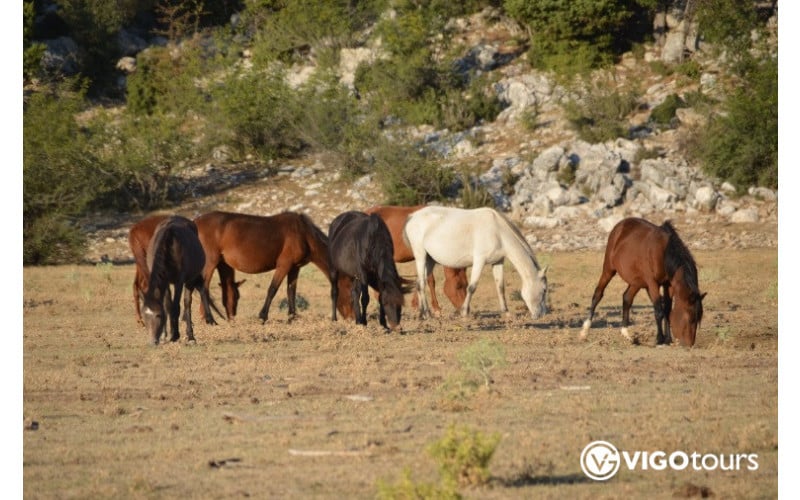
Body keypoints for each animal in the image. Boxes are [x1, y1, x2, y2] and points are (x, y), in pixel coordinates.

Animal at [142, 216, 214, 345]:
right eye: (144, 317)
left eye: (158, 315)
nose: (152, 342)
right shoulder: (165, 282)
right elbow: (167, 305)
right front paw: (165, 334)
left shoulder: (179, 282)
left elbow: (176, 307)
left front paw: (175, 335)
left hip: (191, 278)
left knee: (189, 301)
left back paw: (192, 334)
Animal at [194, 210, 352, 323]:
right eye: (350, 294)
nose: (351, 318)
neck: (304, 234)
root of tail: (195, 222)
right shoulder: (284, 265)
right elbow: (272, 289)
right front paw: (263, 316)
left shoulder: (294, 268)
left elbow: (291, 291)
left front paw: (293, 317)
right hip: (211, 262)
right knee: (204, 288)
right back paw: (209, 319)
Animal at [402, 206, 548, 320]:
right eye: (544, 290)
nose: (541, 314)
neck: (498, 231)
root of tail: (412, 216)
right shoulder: (479, 260)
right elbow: (472, 287)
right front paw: (464, 312)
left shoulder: (498, 262)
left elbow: (500, 287)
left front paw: (506, 313)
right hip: (421, 256)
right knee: (421, 283)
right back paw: (427, 314)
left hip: (430, 260)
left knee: (419, 283)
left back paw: (421, 314)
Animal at [579, 217, 705, 346]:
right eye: (690, 318)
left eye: (698, 319)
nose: (690, 344)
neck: (664, 252)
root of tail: (620, 224)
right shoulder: (653, 283)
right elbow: (659, 311)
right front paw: (660, 339)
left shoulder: (668, 285)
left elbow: (667, 310)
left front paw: (668, 339)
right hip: (609, 269)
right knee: (598, 294)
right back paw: (585, 331)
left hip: (637, 282)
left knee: (627, 298)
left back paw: (626, 333)